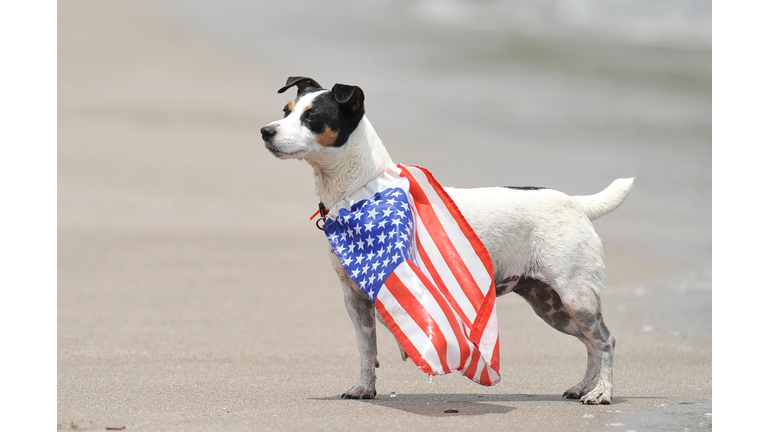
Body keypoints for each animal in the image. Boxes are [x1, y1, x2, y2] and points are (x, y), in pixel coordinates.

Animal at [260, 77, 632, 404]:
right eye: (286, 110)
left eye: (311, 117)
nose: (266, 131)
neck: (360, 190)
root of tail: (577, 203)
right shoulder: (355, 298)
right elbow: (367, 349)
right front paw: (364, 388)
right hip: (552, 306)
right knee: (590, 343)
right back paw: (583, 387)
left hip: (575, 296)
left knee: (605, 341)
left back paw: (601, 393)